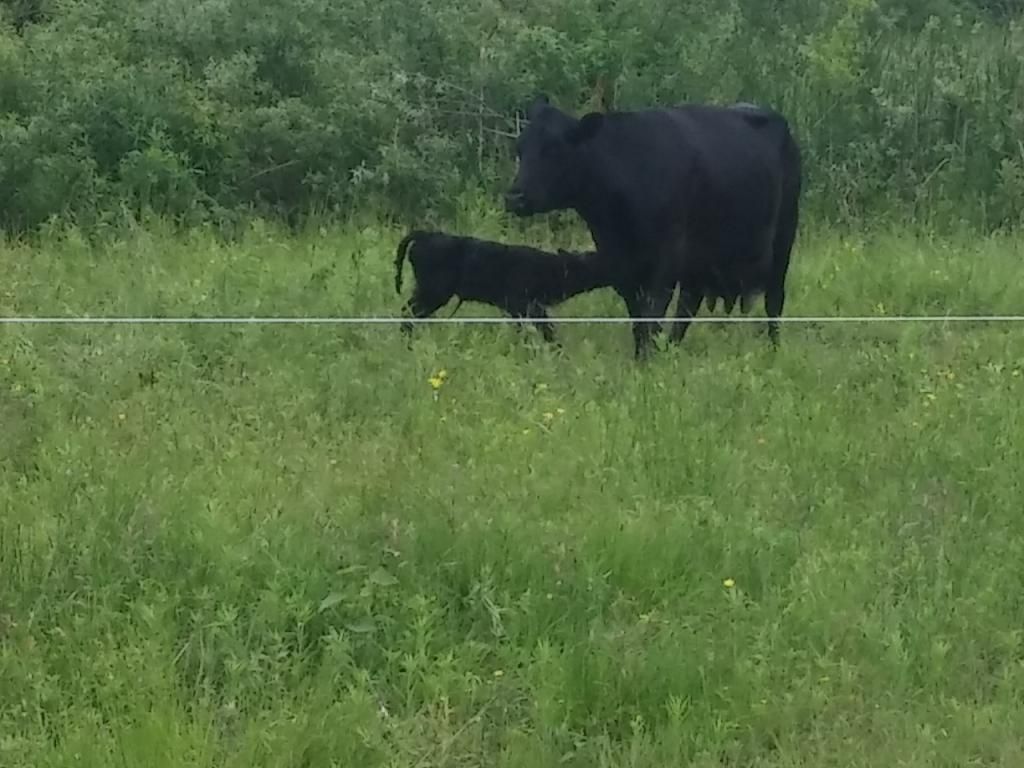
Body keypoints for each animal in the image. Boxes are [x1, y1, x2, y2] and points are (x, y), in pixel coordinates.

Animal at [394, 229, 619, 344]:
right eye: (597, 261)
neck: (552, 268)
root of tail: (425, 235)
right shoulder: (523, 304)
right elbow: (546, 329)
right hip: (433, 292)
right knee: (409, 313)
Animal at [504, 94, 802, 359]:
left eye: (554, 149)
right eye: (519, 148)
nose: (515, 197)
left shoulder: (663, 268)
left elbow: (651, 318)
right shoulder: (622, 267)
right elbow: (639, 321)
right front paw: (642, 361)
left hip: (783, 240)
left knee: (774, 301)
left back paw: (773, 352)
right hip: (698, 262)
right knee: (687, 306)